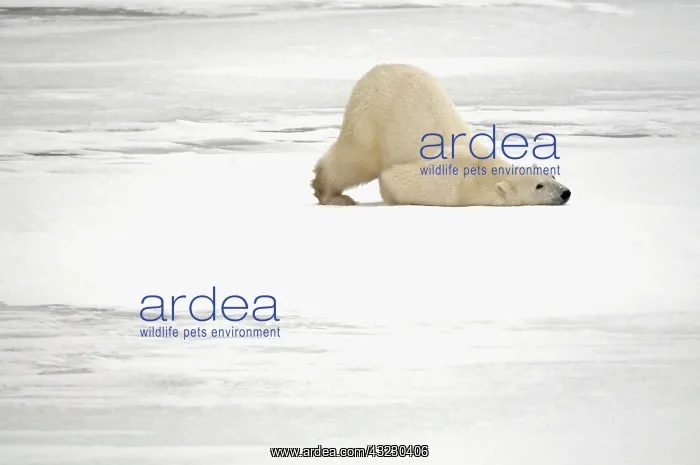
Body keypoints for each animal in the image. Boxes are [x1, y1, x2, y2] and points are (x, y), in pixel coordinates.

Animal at [310, 63, 571, 206]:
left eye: (552, 175)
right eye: (539, 186)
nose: (565, 192)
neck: (484, 172)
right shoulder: (451, 179)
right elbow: (394, 178)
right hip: (371, 117)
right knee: (354, 160)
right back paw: (332, 195)